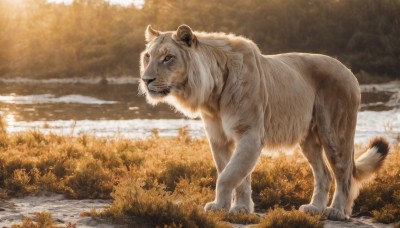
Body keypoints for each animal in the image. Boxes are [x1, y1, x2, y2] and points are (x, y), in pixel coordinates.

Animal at [139, 24, 390, 220]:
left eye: (168, 57)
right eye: (148, 56)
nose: (145, 79)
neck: (212, 94)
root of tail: (348, 70)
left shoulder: (250, 134)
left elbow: (228, 176)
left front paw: (221, 206)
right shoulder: (219, 139)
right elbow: (235, 175)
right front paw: (238, 208)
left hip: (335, 133)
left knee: (344, 174)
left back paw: (336, 212)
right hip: (308, 139)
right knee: (324, 175)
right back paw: (314, 208)